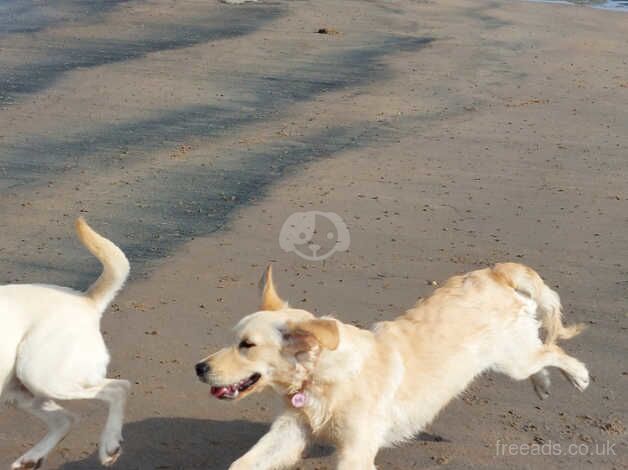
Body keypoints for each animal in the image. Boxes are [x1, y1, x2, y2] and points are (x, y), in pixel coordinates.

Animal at [1, 220, 131, 470]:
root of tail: (85, 299)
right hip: (20, 392)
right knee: (66, 419)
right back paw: (30, 459)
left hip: (39, 375)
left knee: (119, 388)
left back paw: (109, 444)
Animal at [195, 262, 588, 468]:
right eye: (233, 339)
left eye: (247, 346)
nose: (199, 368)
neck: (323, 380)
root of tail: (495, 271)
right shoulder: (290, 432)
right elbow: (241, 464)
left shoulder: (355, 452)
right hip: (514, 357)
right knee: (541, 354)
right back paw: (543, 385)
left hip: (512, 359)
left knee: (553, 350)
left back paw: (579, 376)